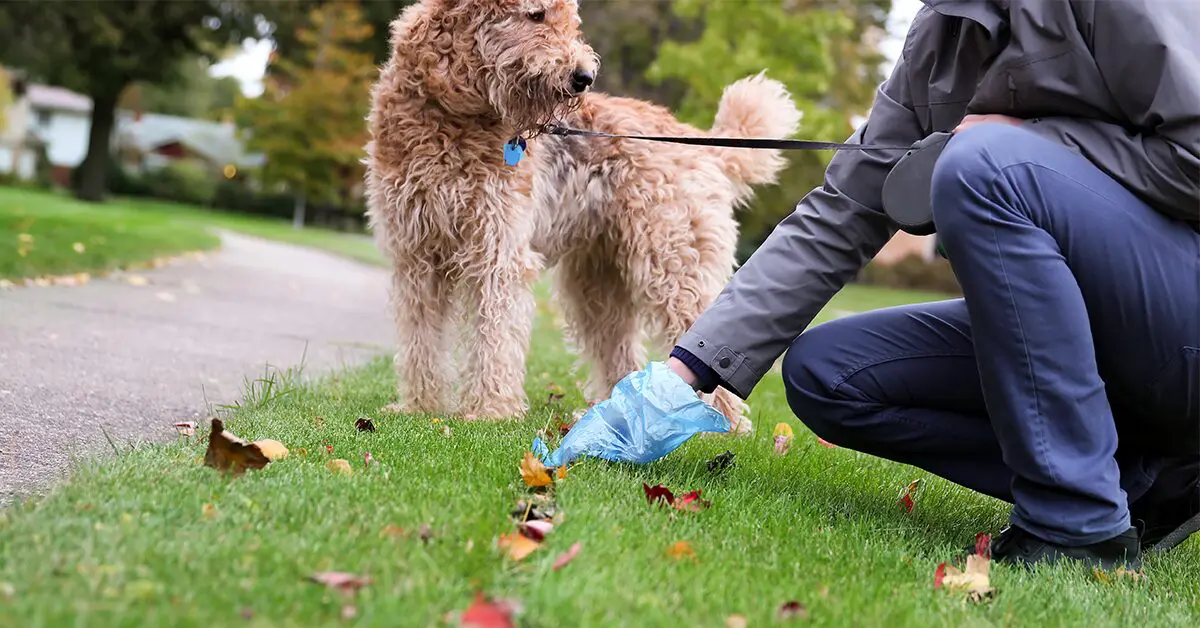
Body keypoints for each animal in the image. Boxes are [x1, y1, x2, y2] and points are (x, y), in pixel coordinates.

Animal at [364, 0, 796, 432]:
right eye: (536, 15)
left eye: (571, 21)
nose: (584, 77)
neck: (450, 112)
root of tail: (704, 145)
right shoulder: (416, 254)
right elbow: (421, 338)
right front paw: (419, 406)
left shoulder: (498, 251)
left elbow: (495, 335)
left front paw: (490, 410)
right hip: (597, 283)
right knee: (620, 350)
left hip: (672, 262)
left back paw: (719, 426)